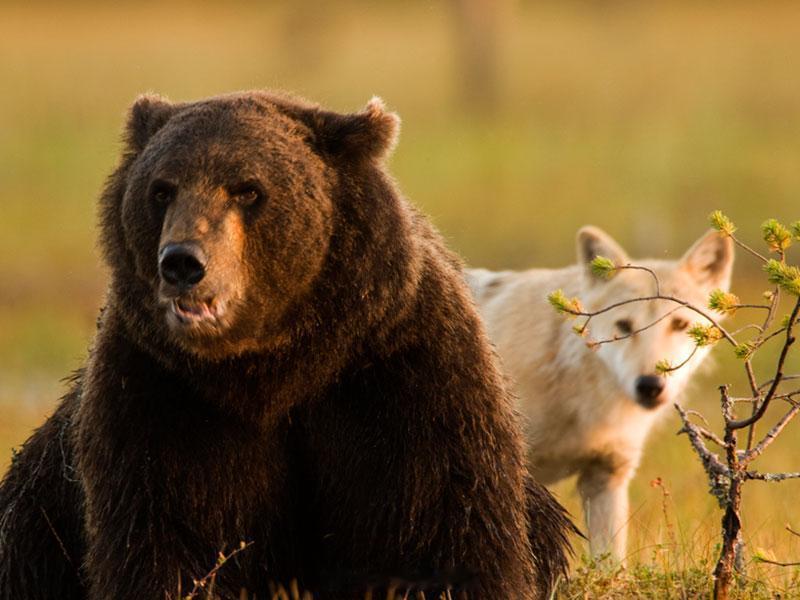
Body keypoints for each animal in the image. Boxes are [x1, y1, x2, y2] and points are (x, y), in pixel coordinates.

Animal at [0, 91, 572, 599]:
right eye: (162, 190)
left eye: (247, 189)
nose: (182, 262)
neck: (277, 366)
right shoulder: (160, 393)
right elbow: (165, 531)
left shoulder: (402, 367)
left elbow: (443, 520)